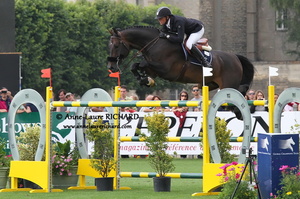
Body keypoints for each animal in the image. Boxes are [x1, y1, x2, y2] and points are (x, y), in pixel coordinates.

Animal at [106, 25, 254, 95]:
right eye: (109, 45)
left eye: (117, 46)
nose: (111, 67)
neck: (154, 44)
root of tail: (235, 57)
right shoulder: (154, 70)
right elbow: (135, 66)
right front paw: (145, 80)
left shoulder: (165, 70)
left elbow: (142, 63)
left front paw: (145, 79)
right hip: (210, 84)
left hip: (229, 84)